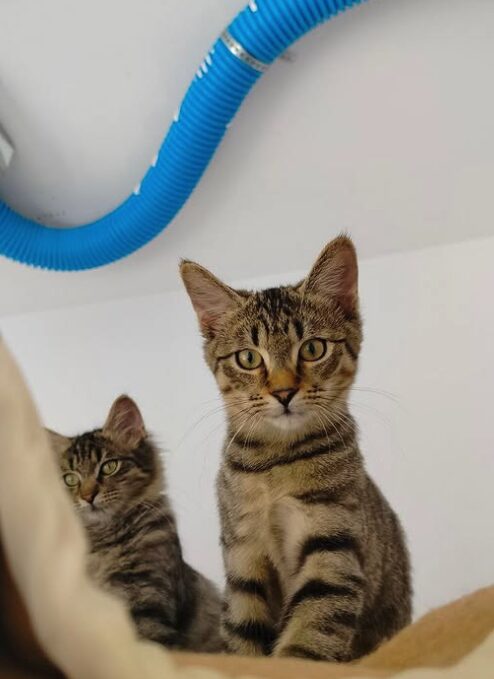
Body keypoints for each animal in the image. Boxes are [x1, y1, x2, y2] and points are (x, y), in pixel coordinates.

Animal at [181, 236, 412, 660]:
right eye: (248, 357)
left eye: (313, 349)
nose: (284, 391)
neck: (276, 463)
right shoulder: (243, 556)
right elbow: (243, 636)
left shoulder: (332, 548)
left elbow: (310, 636)